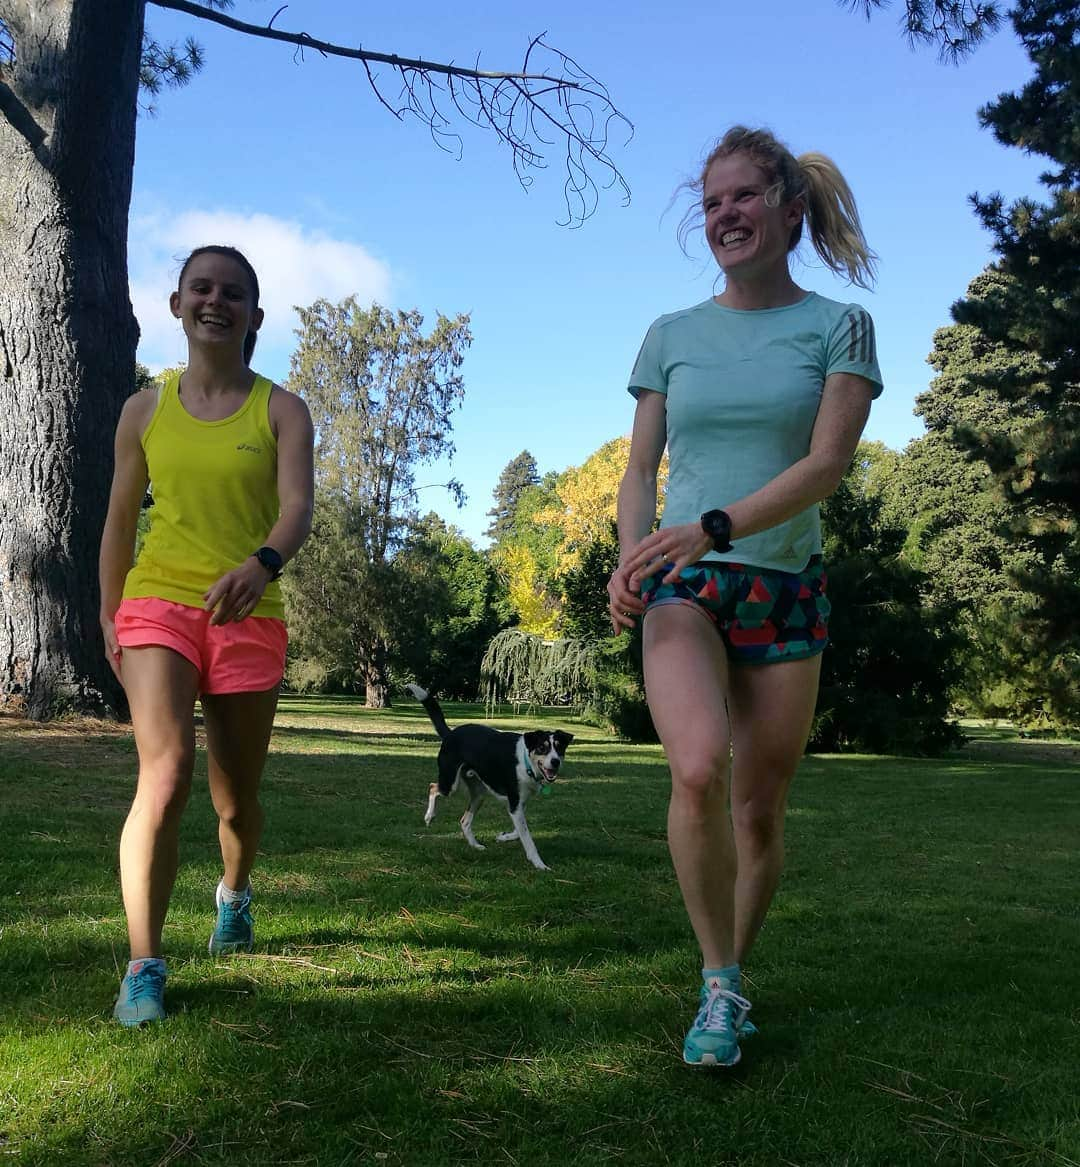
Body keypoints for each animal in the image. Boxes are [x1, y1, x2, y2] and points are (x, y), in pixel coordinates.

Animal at [406, 681, 572, 868]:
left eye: (559, 748)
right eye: (542, 748)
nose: (555, 762)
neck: (526, 762)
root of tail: (450, 734)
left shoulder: (519, 804)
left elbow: (520, 831)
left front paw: (504, 837)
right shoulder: (515, 803)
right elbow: (527, 837)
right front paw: (539, 863)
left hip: (479, 793)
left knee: (464, 821)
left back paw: (475, 845)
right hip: (451, 784)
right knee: (433, 787)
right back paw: (429, 816)